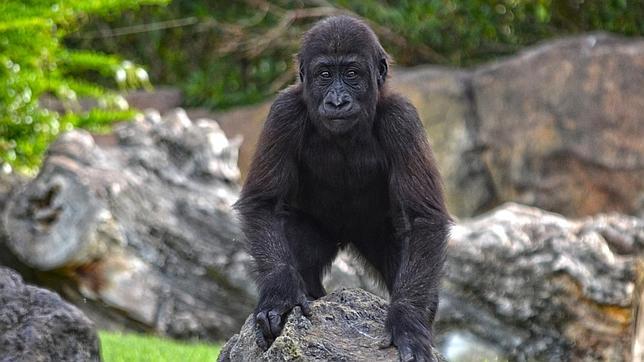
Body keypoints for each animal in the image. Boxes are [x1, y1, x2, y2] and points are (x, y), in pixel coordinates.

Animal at [234, 14, 450, 362]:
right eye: (325, 75)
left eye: (351, 74)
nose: (337, 101)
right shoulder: (284, 112)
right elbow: (263, 202)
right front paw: (280, 293)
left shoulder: (402, 119)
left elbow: (423, 218)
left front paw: (406, 320)